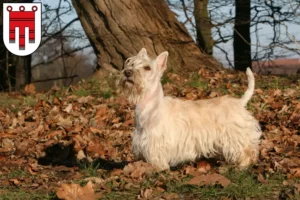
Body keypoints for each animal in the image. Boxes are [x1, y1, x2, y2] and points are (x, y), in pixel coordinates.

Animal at [118, 47, 262, 170]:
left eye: (147, 68)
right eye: (130, 63)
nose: (127, 72)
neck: (149, 106)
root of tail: (240, 102)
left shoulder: (156, 145)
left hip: (235, 135)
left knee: (247, 151)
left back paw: (241, 166)